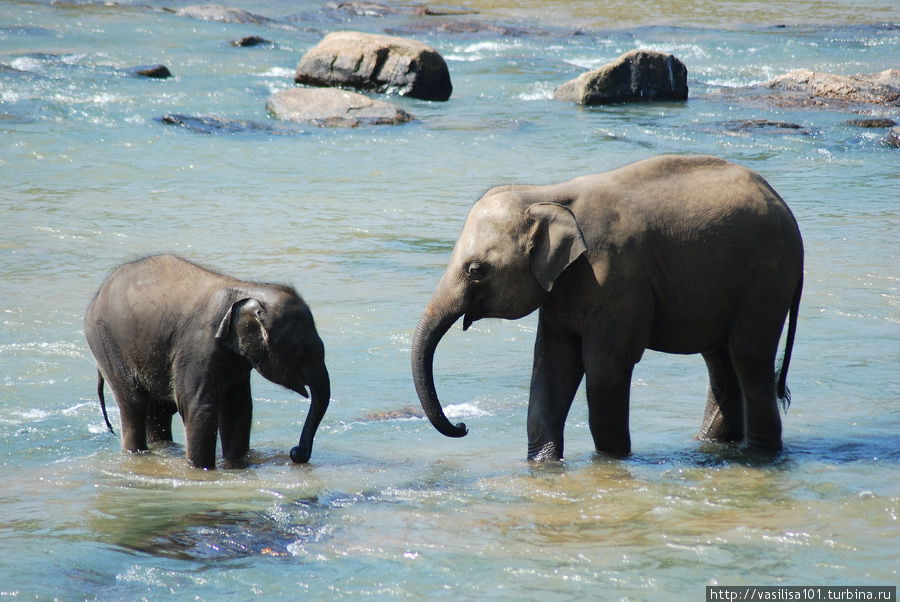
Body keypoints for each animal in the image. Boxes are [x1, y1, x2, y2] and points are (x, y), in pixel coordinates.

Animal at [83, 251, 330, 466]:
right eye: (301, 352)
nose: (296, 452)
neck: (247, 289)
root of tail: (97, 294)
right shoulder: (198, 347)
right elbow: (198, 409)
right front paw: (200, 469)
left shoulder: (236, 358)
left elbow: (238, 408)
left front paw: (234, 465)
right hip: (107, 345)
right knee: (133, 404)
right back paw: (137, 453)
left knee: (158, 410)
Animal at [412, 155, 804, 460]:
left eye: (476, 270)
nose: (463, 426)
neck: (546, 194)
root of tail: (785, 207)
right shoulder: (560, 290)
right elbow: (551, 366)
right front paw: (544, 463)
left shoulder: (617, 277)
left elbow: (604, 367)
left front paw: (612, 459)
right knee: (720, 361)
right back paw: (713, 444)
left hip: (765, 279)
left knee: (748, 357)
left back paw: (759, 454)